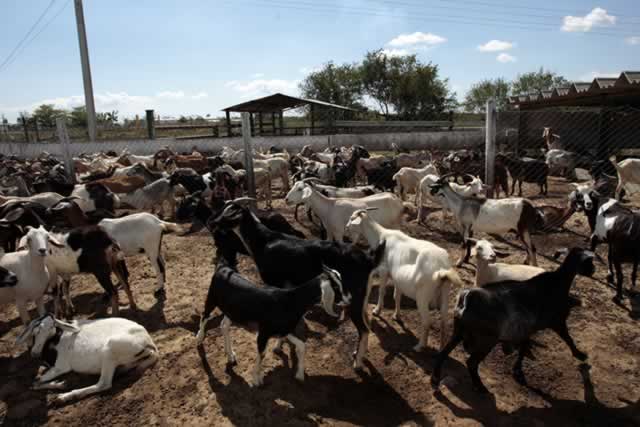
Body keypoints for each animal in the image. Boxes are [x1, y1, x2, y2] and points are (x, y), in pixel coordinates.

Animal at [15, 314, 158, 404]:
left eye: (52, 327)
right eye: (36, 329)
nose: (35, 353)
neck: (55, 340)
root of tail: (149, 343)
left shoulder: (60, 367)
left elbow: (35, 382)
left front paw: (61, 385)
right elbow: (35, 381)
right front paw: (61, 384)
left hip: (109, 350)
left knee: (104, 384)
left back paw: (64, 397)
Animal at [196, 260, 350, 388]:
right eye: (336, 287)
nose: (348, 300)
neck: (290, 301)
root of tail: (223, 268)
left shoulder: (284, 329)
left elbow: (302, 346)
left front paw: (299, 375)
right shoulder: (264, 332)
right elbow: (262, 353)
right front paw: (256, 380)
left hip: (232, 311)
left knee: (224, 325)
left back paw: (230, 355)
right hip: (212, 298)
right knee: (205, 315)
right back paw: (199, 338)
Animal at [209, 202, 384, 370]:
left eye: (231, 213)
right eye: (223, 208)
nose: (213, 223)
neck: (264, 242)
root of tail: (367, 260)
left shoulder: (275, 284)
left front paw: (278, 347)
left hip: (354, 297)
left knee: (364, 329)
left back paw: (358, 364)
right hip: (363, 295)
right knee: (366, 324)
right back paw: (357, 354)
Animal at [344, 209, 460, 352]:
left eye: (352, 218)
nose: (346, 227)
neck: (381, 236)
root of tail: (442, 269)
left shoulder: (384, 271)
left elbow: (382, 291)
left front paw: (377, 310)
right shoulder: (398, 279)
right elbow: (396, 296)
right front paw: (397, 315)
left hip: (423, 295)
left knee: (427, 321)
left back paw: (419, 346)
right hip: (445, 292)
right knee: (444, 320)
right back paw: (442, 348)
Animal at [430, 247, 596, 394]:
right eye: (589, 261)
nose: (593, 270)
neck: (557, 283)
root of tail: (467, 299)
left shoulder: (527, 329)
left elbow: (524, 346)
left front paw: (517, 371)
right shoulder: (557, 321)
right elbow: (568, 339)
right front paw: (580, 355)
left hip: (458, 332)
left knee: (443, 353)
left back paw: (435, 380)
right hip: (486, 341)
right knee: (471, 363)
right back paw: (480, 387)